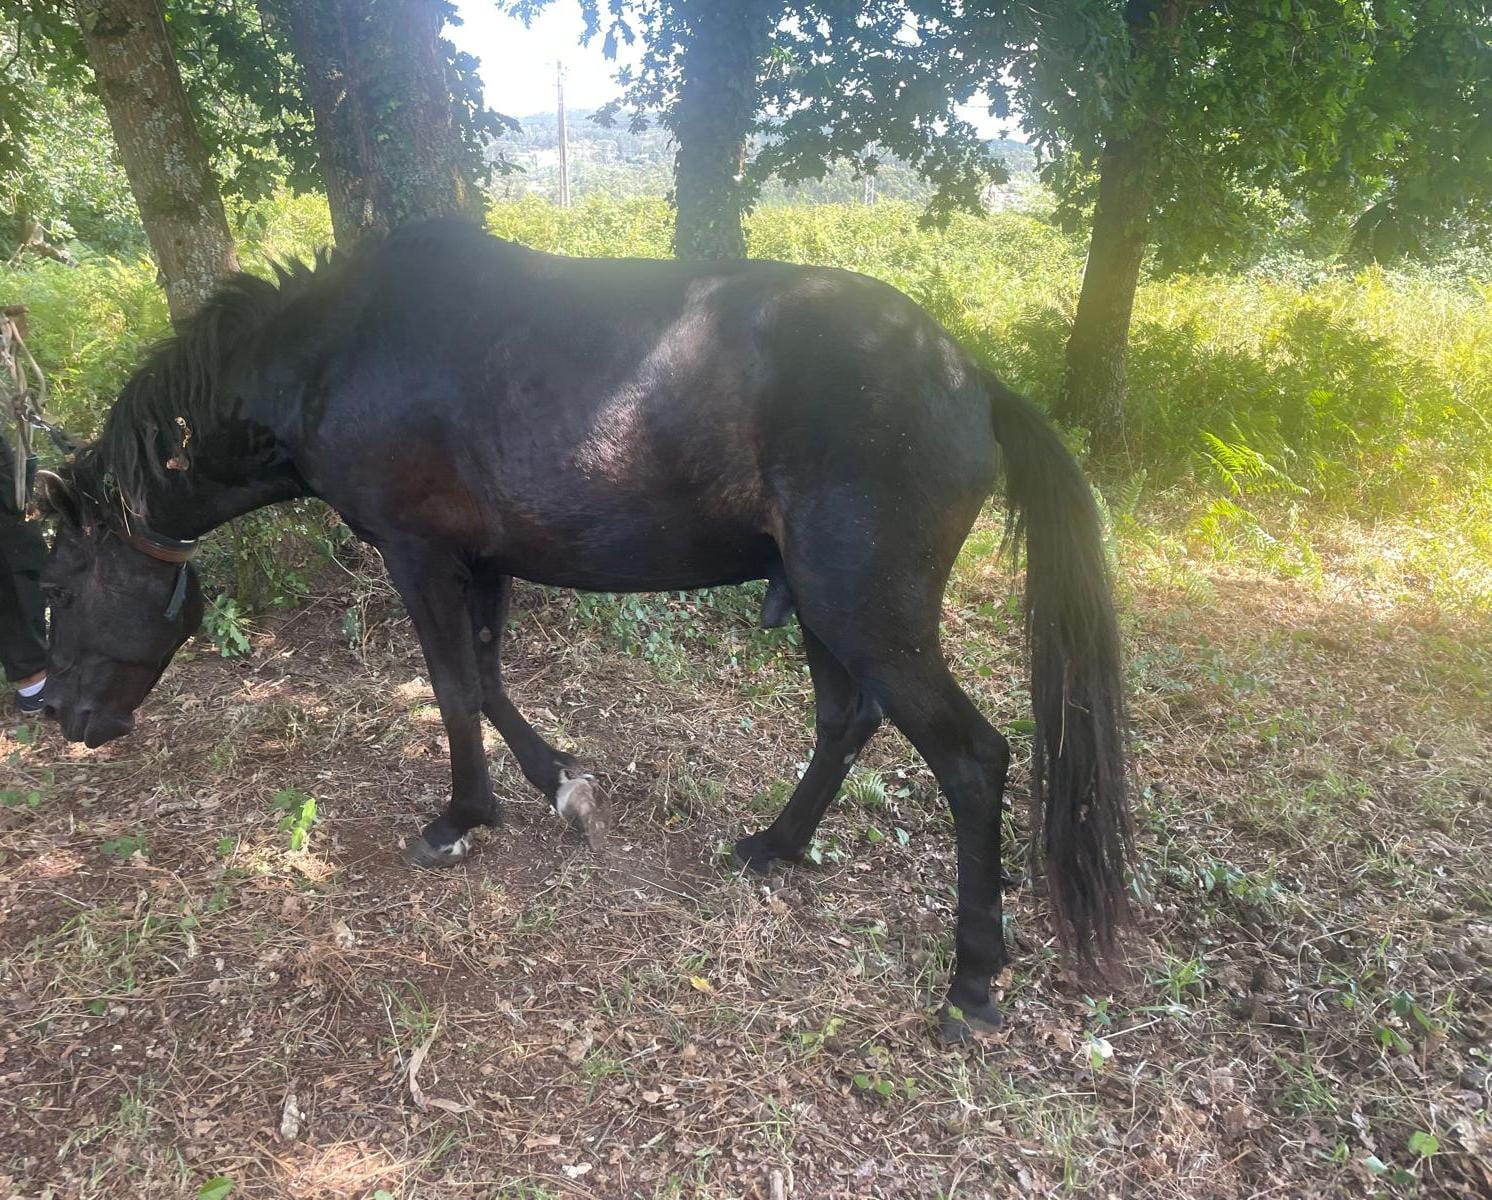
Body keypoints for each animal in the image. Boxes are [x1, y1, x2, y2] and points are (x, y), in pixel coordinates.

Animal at [36, 217, 1130, 1042]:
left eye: (66, 578)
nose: (64, 716)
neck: (338, 349)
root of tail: (966, 375)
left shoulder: (418, 553)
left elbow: (453, 686)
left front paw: (460, 817)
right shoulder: (481, 562)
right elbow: (487, 681)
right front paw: (558, 782)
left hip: (869, 614)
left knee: (972, 760)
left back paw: (972, 981)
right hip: (829, 612)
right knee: (845, 723)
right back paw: (774, 846)